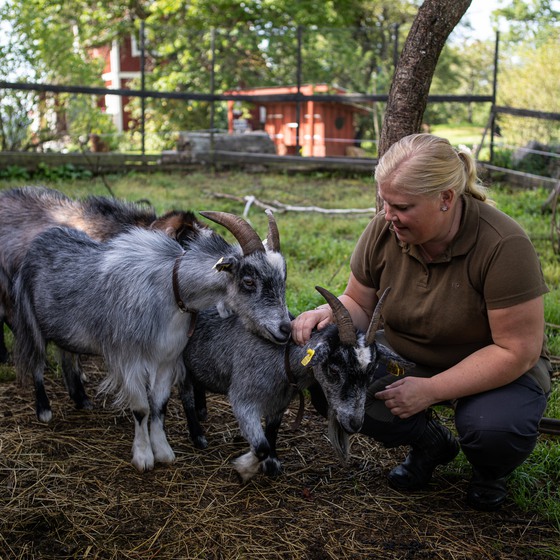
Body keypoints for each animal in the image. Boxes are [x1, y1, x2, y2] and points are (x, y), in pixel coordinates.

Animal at [10, 210, 290, 472]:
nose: (286, 328)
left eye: (283, 280)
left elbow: (159, 404)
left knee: (67, 353)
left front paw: (164, 451)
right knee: (36, 363)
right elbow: (142, 408)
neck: (172, 287)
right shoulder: (129, 358)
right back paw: (44, 410)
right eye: (249, 281)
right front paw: (144, 457)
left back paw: (80, 398)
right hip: (29, 318)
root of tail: (43, 237)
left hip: (65, 330)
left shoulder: (167, 358)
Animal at [179, 286, 412, 484]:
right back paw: (198, 436)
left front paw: (272, 464)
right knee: (186, 396)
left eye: (371, 372)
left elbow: (272, 431)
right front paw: (243, 469)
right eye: (333, 370)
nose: (355, 424)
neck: (281, 357)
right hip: (177, 362)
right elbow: (261, 446)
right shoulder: (243, 401)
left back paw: (202, 411)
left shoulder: (280, 402)